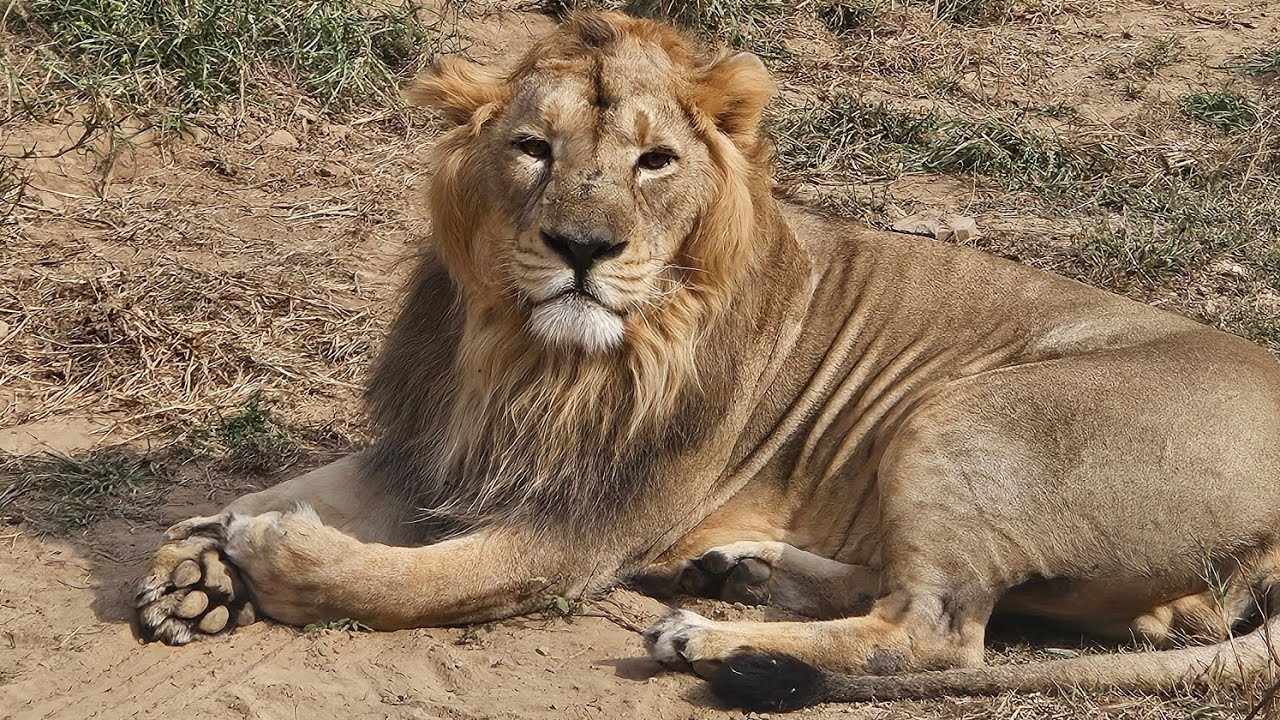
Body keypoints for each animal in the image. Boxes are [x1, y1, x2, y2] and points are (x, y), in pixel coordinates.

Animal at [134, 11, 1280, 712]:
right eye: (532, 149)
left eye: (655, 160)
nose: (583, 248)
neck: (523, 356)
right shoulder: (437, 441)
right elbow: (293, 483)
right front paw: (196, 565)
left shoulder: (579, 529)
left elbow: (419, 579)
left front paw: (272, 555)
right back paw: (739, 571)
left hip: (967, 410)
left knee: (936, 633)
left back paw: (709, 637)